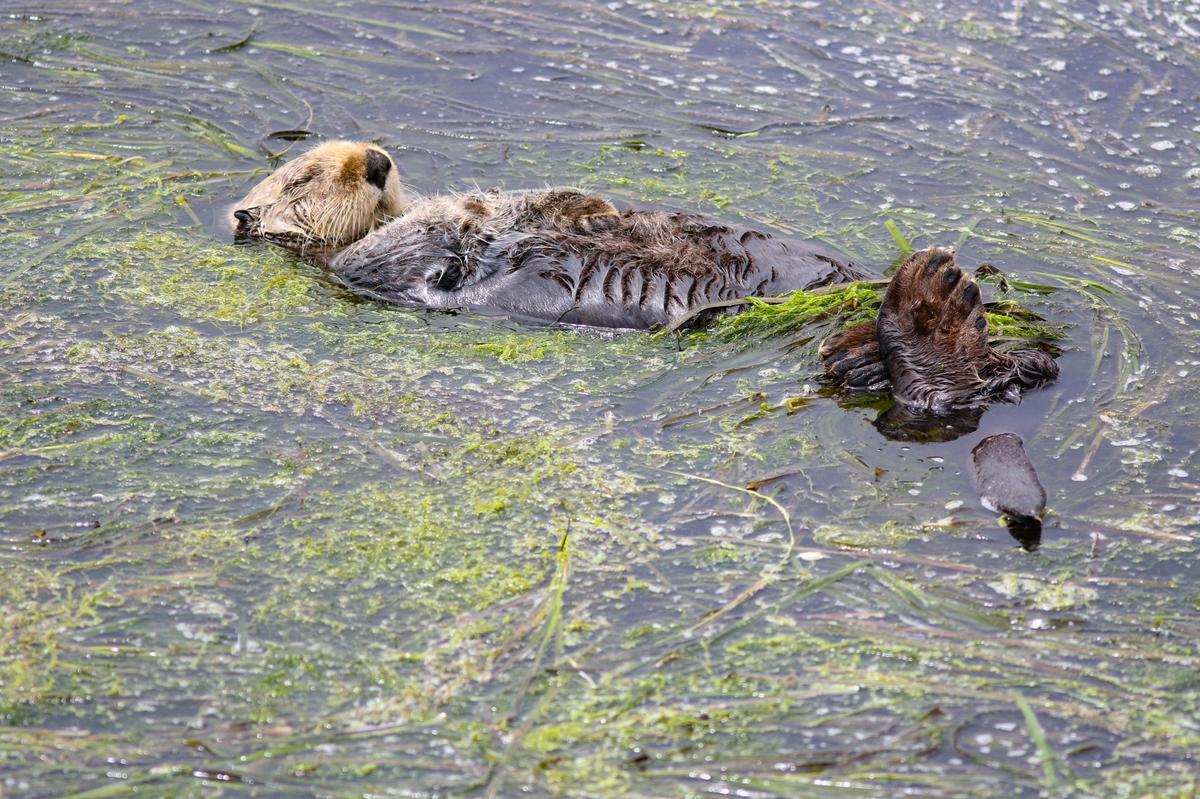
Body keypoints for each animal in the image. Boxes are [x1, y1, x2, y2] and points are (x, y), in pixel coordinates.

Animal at [230, 141, 1059, 415]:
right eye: (303, 175)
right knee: (934, 396)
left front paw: (587, 206)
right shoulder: (372, 264)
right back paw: (932, 310)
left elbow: (530, 202)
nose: (375, 161)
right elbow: (444, 242)